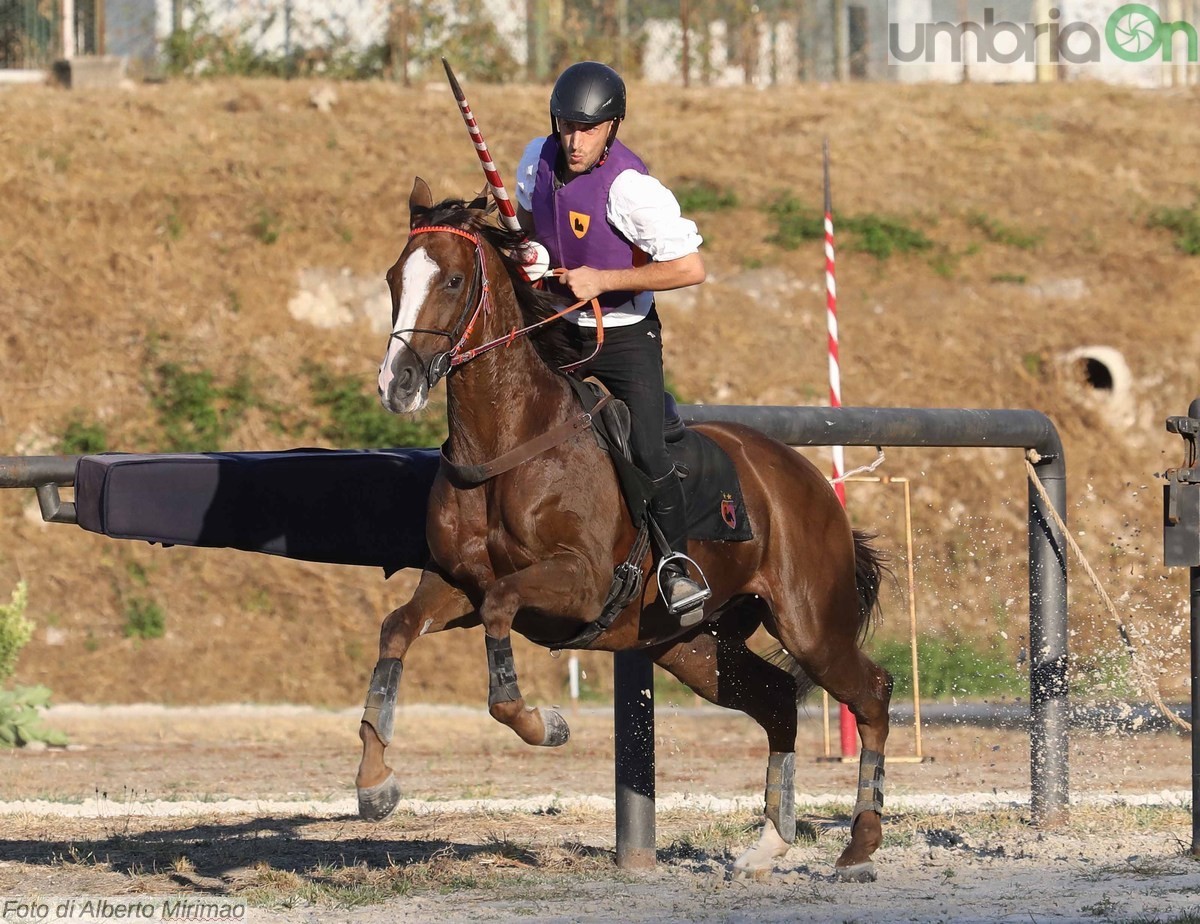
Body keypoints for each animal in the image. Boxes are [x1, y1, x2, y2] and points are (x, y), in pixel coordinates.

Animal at [355, 177, 892, 878]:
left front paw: (546, 724)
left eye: (450, 279)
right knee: (777, 699)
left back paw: (860, 842)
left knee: (873, 692)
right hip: (691, 646)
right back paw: (770, 843)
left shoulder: (577, 584)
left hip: (811, 625)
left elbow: (502, 620)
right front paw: (374, 783)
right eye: (395, 277)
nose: (398, 383)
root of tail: (811, 482)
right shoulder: (453, 583)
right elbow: (397, 630)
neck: (508, 443)